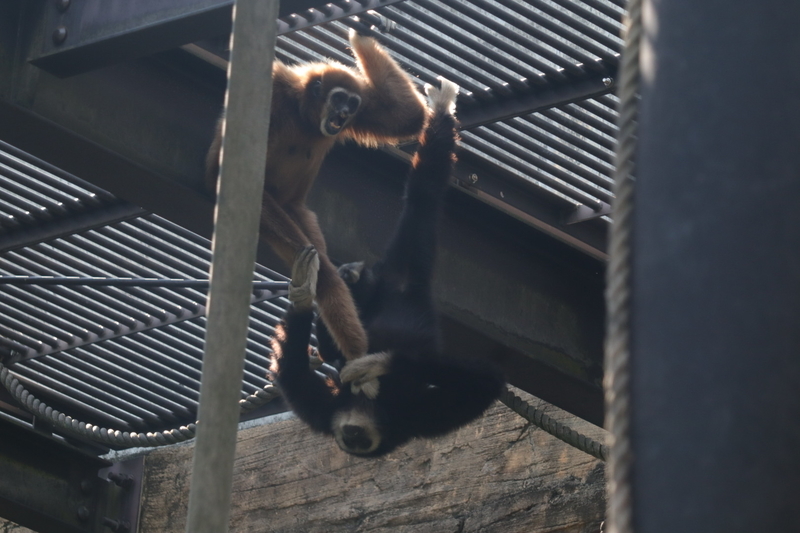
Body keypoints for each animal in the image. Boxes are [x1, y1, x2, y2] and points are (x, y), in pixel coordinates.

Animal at [206, 30, 428, 362]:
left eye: (352, 102)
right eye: (338, 98)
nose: (345, 112)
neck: (303, 115)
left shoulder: (362, 110)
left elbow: (407, 117)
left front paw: (363, 32)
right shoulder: (275, 87)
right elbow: (220, 169)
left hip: (298, 211)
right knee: (320, 268)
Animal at [270, 81, 506, 456]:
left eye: (359, 441)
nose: (350, 436)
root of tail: (404, 284)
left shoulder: (413, 420)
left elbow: (486, 379)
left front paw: (380, 363)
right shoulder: (326, 409)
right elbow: (291, 371)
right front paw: (303, 293)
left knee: (423, 194)